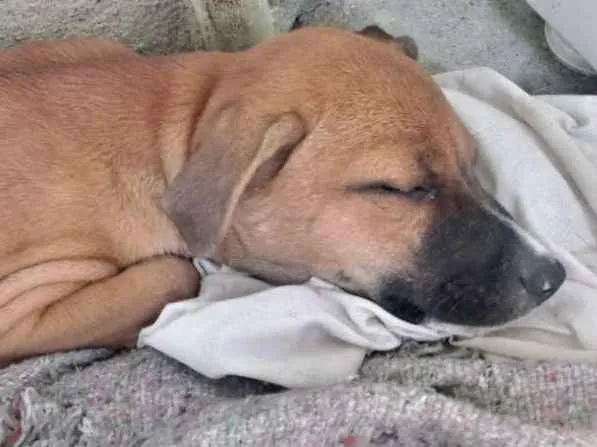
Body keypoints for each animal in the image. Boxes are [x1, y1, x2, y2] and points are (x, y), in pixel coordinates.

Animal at [0, 26, 565, 365]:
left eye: (473, 165)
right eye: (401, 189)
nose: (554, 277)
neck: (174, 128)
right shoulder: (19, 308)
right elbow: (177, 272)